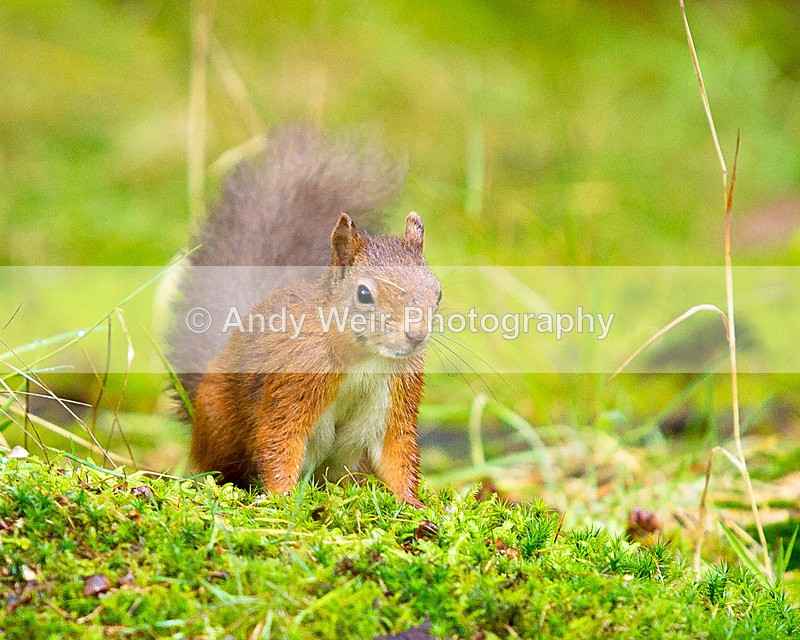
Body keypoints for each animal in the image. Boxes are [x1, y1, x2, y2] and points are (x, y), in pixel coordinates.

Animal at [168, 126, 440, 507]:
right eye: (364, 294)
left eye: (437, 291)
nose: (416, 335)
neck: (364, 360)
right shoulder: (294, 379)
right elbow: (280, 437)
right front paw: (280, 498)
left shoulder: (397, 393)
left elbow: (396, 451)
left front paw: (413, 505)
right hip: (220, 421)